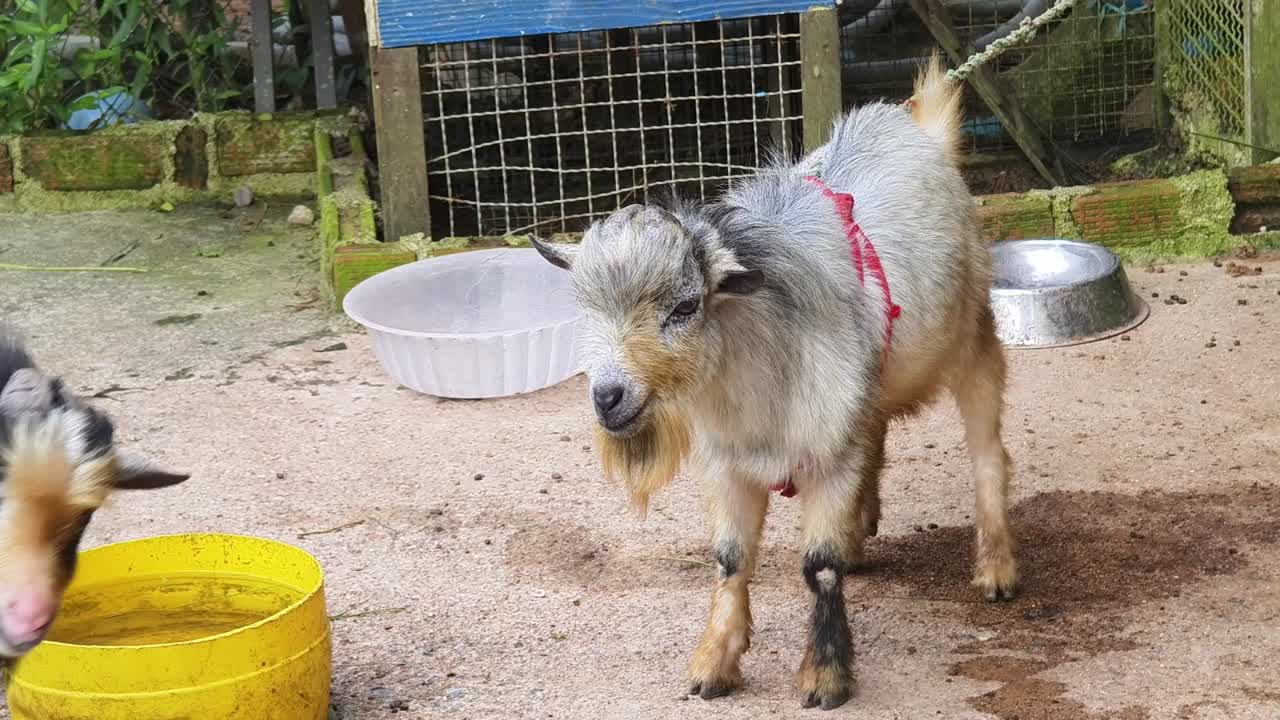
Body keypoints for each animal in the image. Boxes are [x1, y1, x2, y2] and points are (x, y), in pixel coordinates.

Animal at [531, 55, 1016, 709]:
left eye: (684, 307)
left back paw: (995, 568)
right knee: (877, 434)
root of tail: (919, 127)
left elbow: (818, 566)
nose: (609, 398)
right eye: (585, 309)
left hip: (974, 340)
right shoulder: (729, 463)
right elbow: (729, 560)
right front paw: (713, 662)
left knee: (987, 451)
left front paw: (825, 677)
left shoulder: (829, 454)